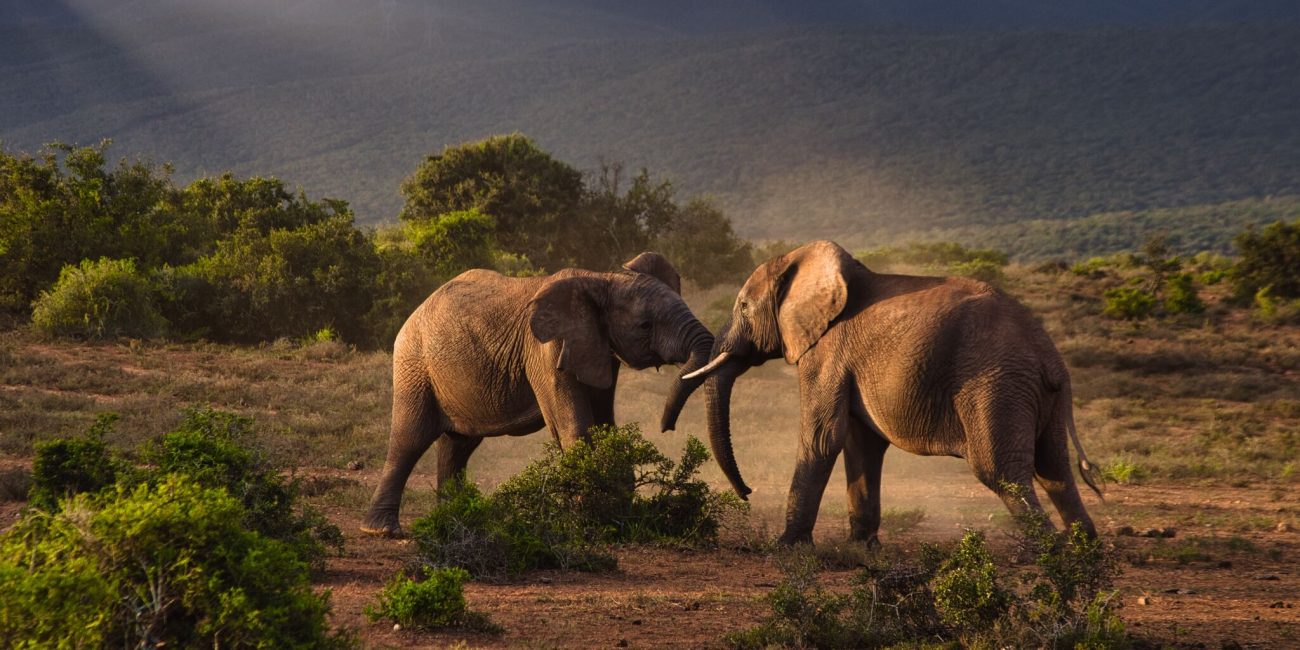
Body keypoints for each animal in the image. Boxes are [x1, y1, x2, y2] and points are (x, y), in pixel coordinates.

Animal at [361, 250, 717, 535]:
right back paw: (382, 531)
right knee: (411, 437)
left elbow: (605, 425)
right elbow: (574, 427)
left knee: (458, 445)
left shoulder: (596, 348)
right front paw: (587, 522)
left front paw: (615, 516)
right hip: (413, 362)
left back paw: (453, 522)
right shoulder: (546, 350)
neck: (604, 279)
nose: (666, 426)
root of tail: (418, 309)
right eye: (645, 325)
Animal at [686, 239, 1102, 543]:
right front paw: (861, 550)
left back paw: (1049, 560)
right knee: (1054, 469)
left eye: (743, 307)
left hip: (997, 385)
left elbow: (822, 438)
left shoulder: (828, 352)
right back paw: (1084, 554)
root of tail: (1050, 356)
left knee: (1001, 471)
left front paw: (787, 548)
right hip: (1034, 394)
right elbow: (860, 443)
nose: (747, 492)